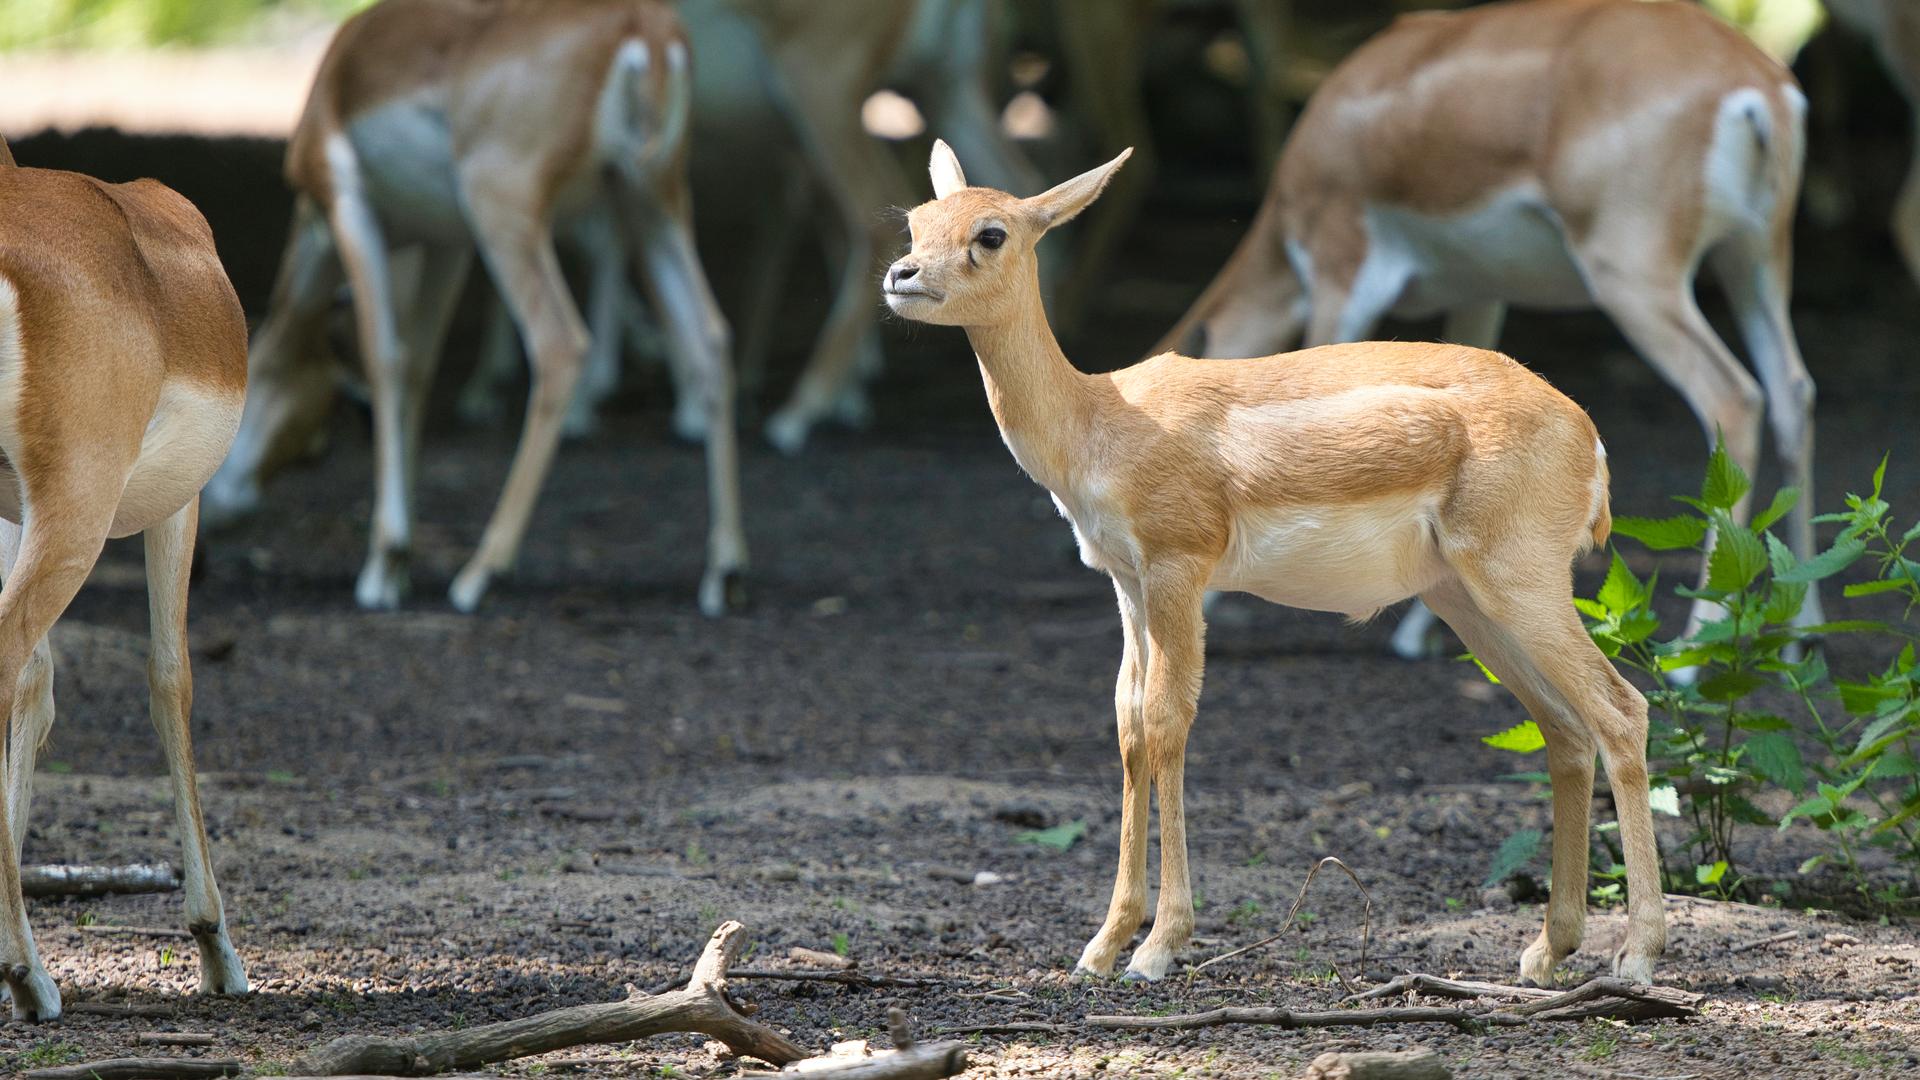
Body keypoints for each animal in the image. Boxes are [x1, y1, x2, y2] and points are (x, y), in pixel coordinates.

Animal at [0, 138, 251, 1014]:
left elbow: (39, 688)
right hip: (78, 513)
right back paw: (31, 976)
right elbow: (170, 677)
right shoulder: (179, 504)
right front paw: (216, 947)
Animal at [206, 0, 744, 614]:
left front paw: (384, 561)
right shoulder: (447, 242)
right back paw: (724, 571)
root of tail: (642, 27)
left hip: (506, 212)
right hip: (653, 205)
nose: (215, 518)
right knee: (710, 337)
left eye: (320, 447)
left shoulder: (351, 206)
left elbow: (386, 359)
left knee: (560, 345)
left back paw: (479, 572)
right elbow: (419, 368)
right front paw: (401, 566)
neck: (341, 82)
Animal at [883, 141, 1666, 983]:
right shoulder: (1124, 581)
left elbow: (1167, 721)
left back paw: (1638, 957)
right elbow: (1126, 725)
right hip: (1466, 600)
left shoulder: (1178, 567)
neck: (1099, 420)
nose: (900, 275)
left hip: (1520, 583)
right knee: (1565, 729)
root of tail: (1588, 436)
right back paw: (1547, 950)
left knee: (1621, 711)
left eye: (991, 233)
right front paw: (1101, 945)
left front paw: (1158, 947)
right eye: (918, 219)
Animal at [1159, 0, 1820, 661]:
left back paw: (1689, 660)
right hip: (1755, 262)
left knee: (1734, 396)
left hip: (1635, 279)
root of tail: (1756, 84)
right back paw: (1800, 636)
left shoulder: (1339, 273)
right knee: (1793, 392)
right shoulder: (1478, 294)